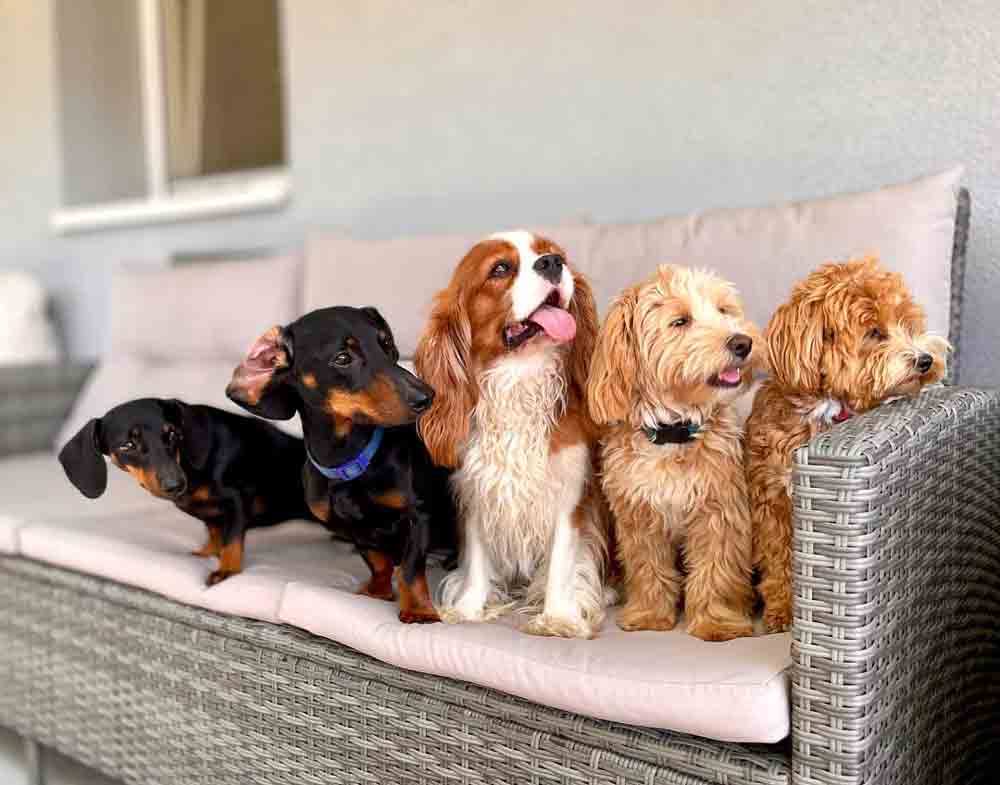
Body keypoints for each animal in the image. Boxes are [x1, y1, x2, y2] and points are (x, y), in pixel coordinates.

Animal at [58, 398, 312, 585]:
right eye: (127, 445)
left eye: (173, 434)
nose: (175, 484)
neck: (191, 468)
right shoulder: (210, 514)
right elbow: (215, 534)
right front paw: (207, 553)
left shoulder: (237, 498)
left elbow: (231, 540)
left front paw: (227, 570)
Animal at [226, 306, 456, 624]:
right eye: (343, 358)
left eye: (386, 344)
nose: (427, 397)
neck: (350, 461)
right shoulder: (349, 527)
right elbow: (377, 560)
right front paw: (378, 589)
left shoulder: (419, 515)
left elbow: (410, 568)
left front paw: (419, 610)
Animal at [414, 230, 609, 639]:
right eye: (500, 269)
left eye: (556, 254)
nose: (552, 263)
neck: (520, 375)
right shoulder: (476, 490)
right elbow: (476, 557)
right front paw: (470, 608)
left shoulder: (570, 494)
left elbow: (562, 560)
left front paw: (558, 617)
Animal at [587, 265, 762, 641]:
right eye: (680, 321)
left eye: (723, 310)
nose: (742, 342)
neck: (673, 433)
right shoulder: (639, 518)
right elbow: (648, 568)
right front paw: (649, 615)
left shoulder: (719, 513)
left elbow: (716, 570)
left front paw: (716, 622)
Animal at [746, 256, 950, 632]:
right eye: (874, 333)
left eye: (906, 323)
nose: (926, 359)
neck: (829, 408)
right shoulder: (771, 504)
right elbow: (779, 562)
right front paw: (782, 612)